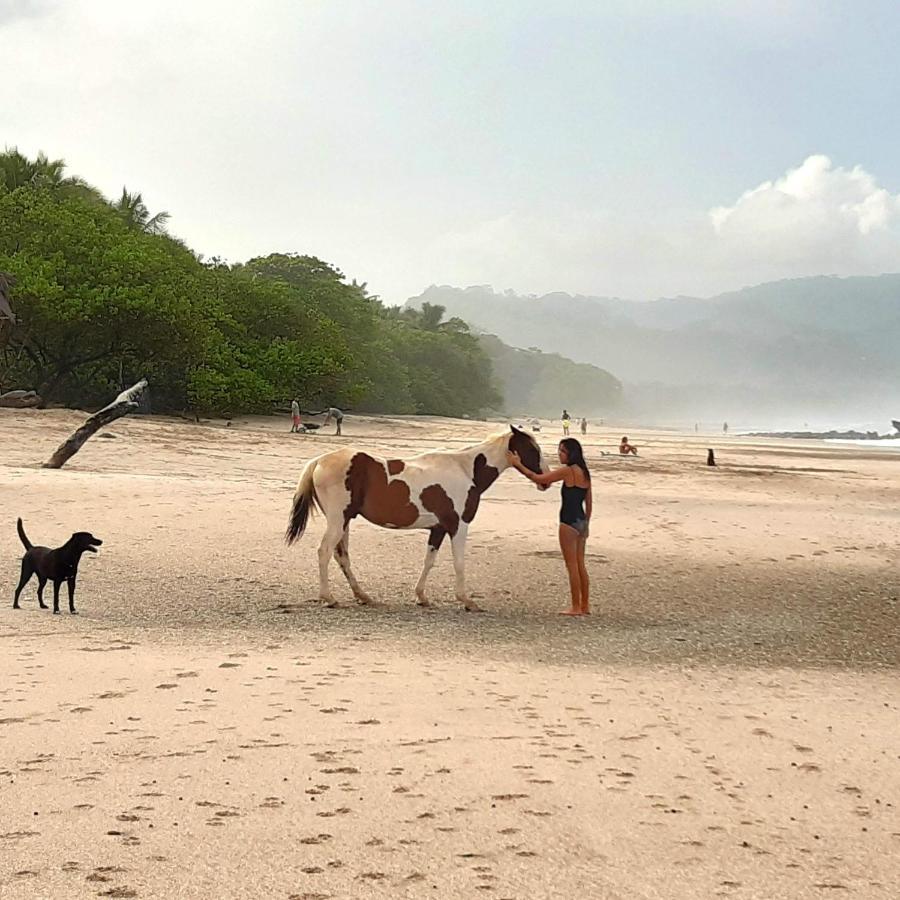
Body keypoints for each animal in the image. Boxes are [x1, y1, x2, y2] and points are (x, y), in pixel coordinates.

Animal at [284, 426, 544, 608]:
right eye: (532, 450)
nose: (544, 479)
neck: (465, 470)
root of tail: (318, 461)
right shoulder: (459, 526)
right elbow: (459, 562)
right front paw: (466, 600)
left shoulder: (438, 529)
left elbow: (429, 561)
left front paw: (421, 597)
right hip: (338, 521)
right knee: (325, 552)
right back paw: (328, 598)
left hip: (344, 521)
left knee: (342, 556)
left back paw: (362, 596)